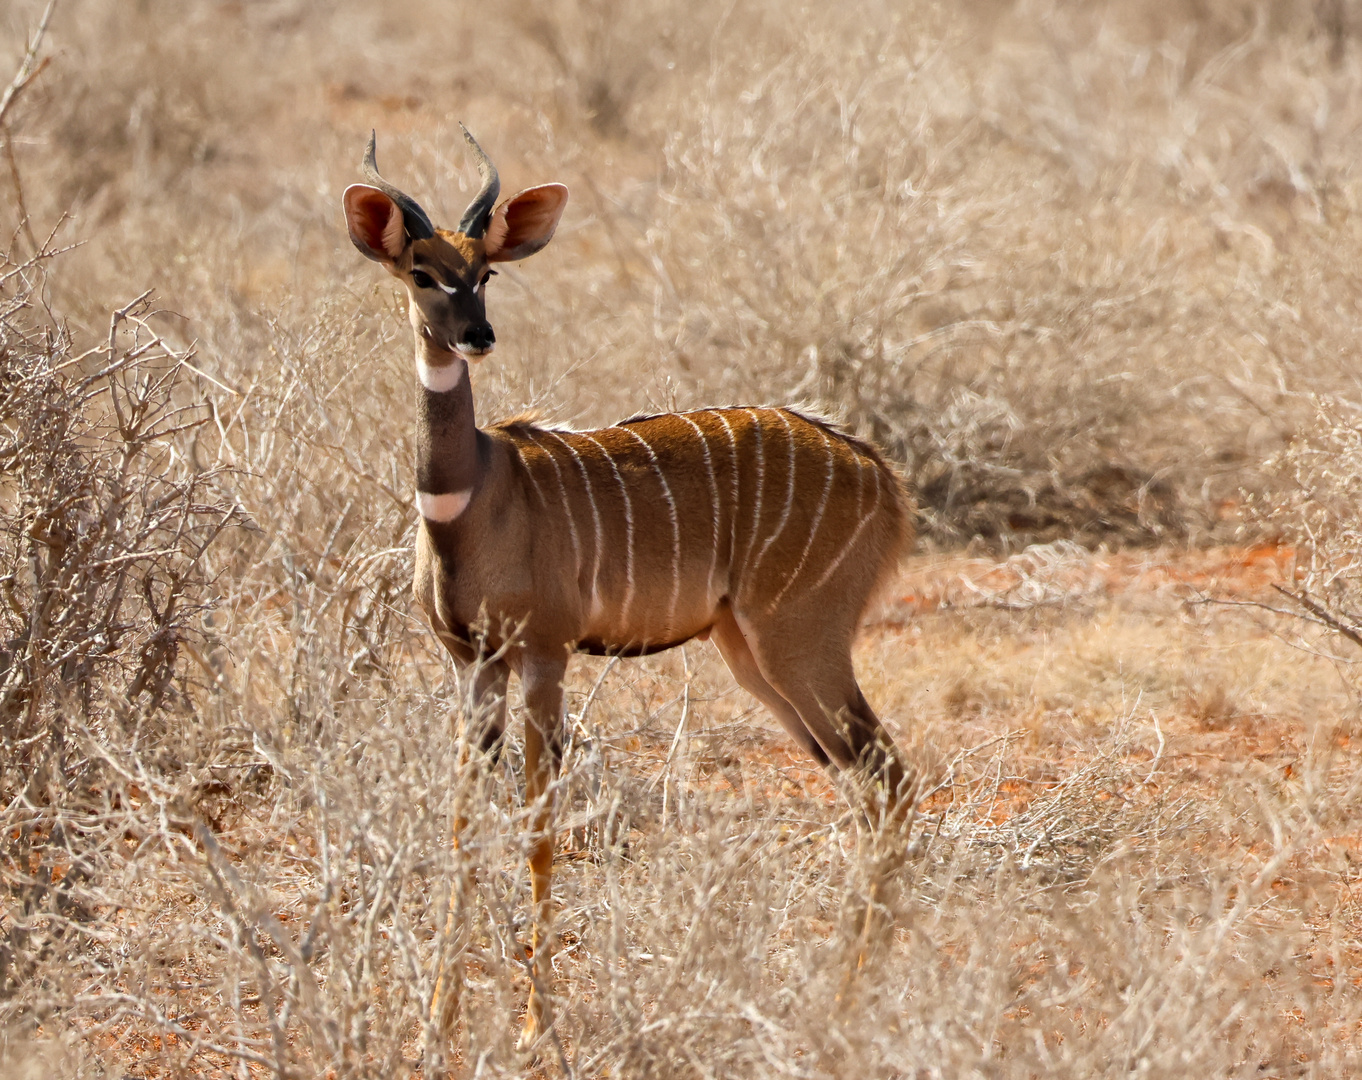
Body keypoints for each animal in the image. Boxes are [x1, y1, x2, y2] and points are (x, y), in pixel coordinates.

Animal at [342, 128, 917, 1050]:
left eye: (486, 270)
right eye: (422, 271)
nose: (477, 335)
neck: (471, 499)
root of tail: (883, 479)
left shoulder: (544, 656)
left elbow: (540, 829)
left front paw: (536, 1026)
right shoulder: (471, 665)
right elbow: (462, 825)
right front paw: (437, 1022)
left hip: (801, 641)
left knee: (888, 778)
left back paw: (846, 998)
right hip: (752, 656)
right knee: (866, 786)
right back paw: (845, 990)